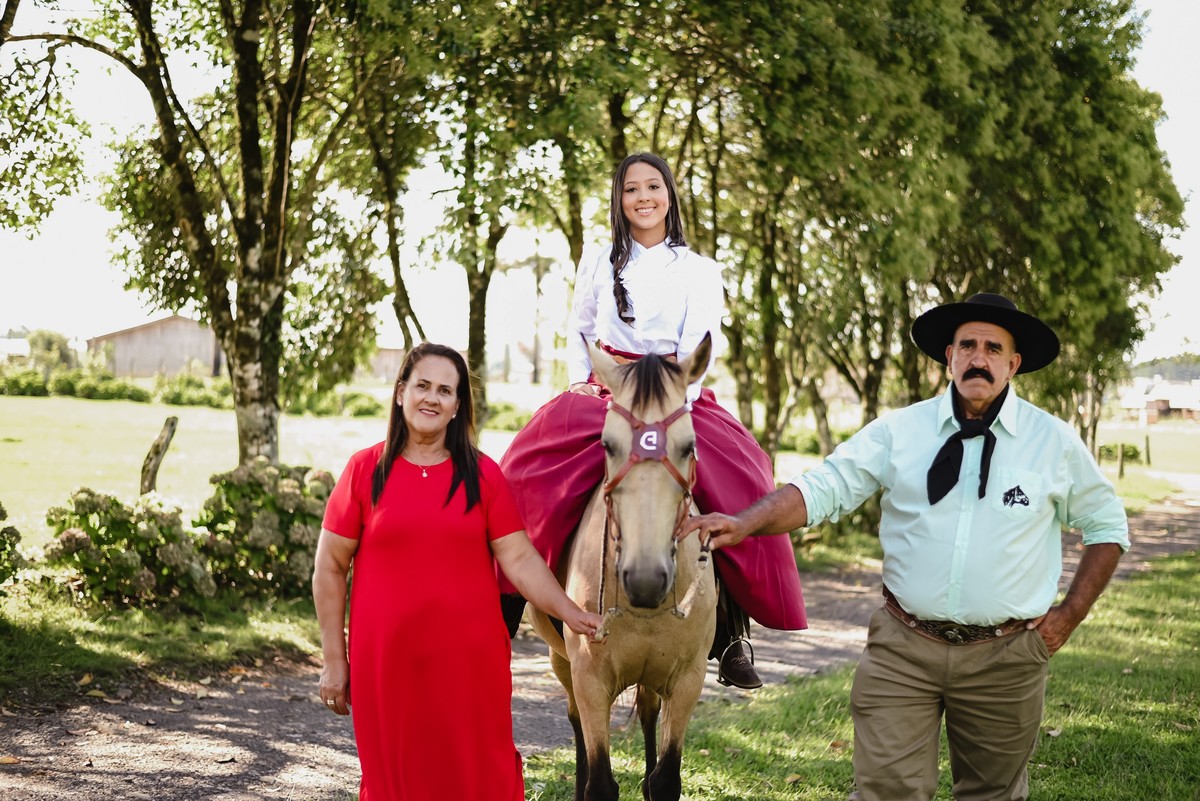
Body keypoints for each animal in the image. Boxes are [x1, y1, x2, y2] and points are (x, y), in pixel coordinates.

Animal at [529, 334, 718, 801]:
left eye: (688, 446)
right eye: (607, 445)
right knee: (575, 719)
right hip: (562, 662)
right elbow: (599, 782)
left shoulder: (687, 680)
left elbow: (665, 780)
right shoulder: (591, 680)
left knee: (648, 713)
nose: (646, 580)